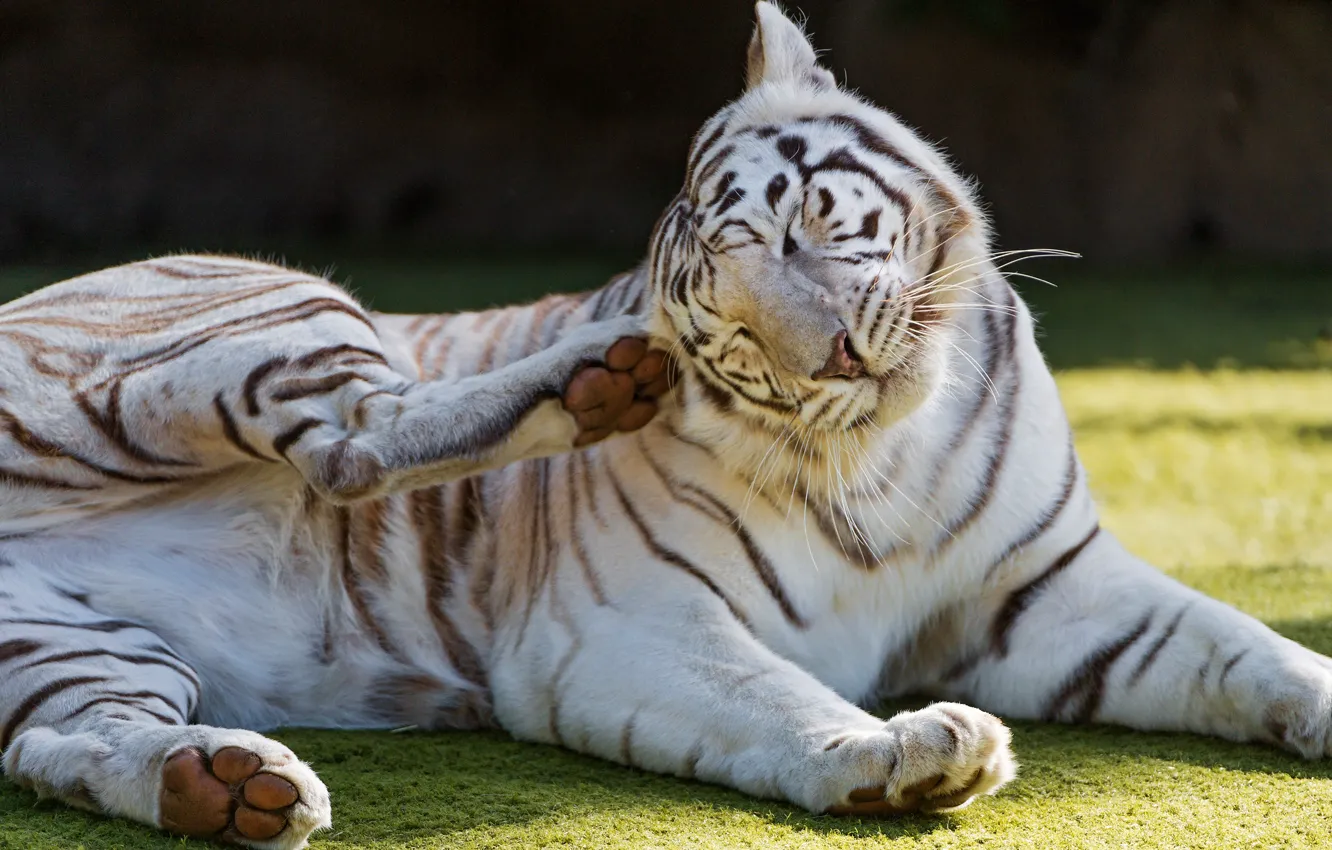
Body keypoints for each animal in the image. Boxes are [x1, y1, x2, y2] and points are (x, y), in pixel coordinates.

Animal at [4, 3, 1331, 848]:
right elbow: (770, 696)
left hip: (82, 650)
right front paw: (896, 757)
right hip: (274, 301)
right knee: (351, 441)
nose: (833, 355)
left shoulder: (1055, 591)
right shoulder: (618, 623)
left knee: (60, 746)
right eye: (734, 336)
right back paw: (594, 379)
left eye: (800, 224)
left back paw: (222, 786)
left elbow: (1243, 647)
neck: (895, 450)